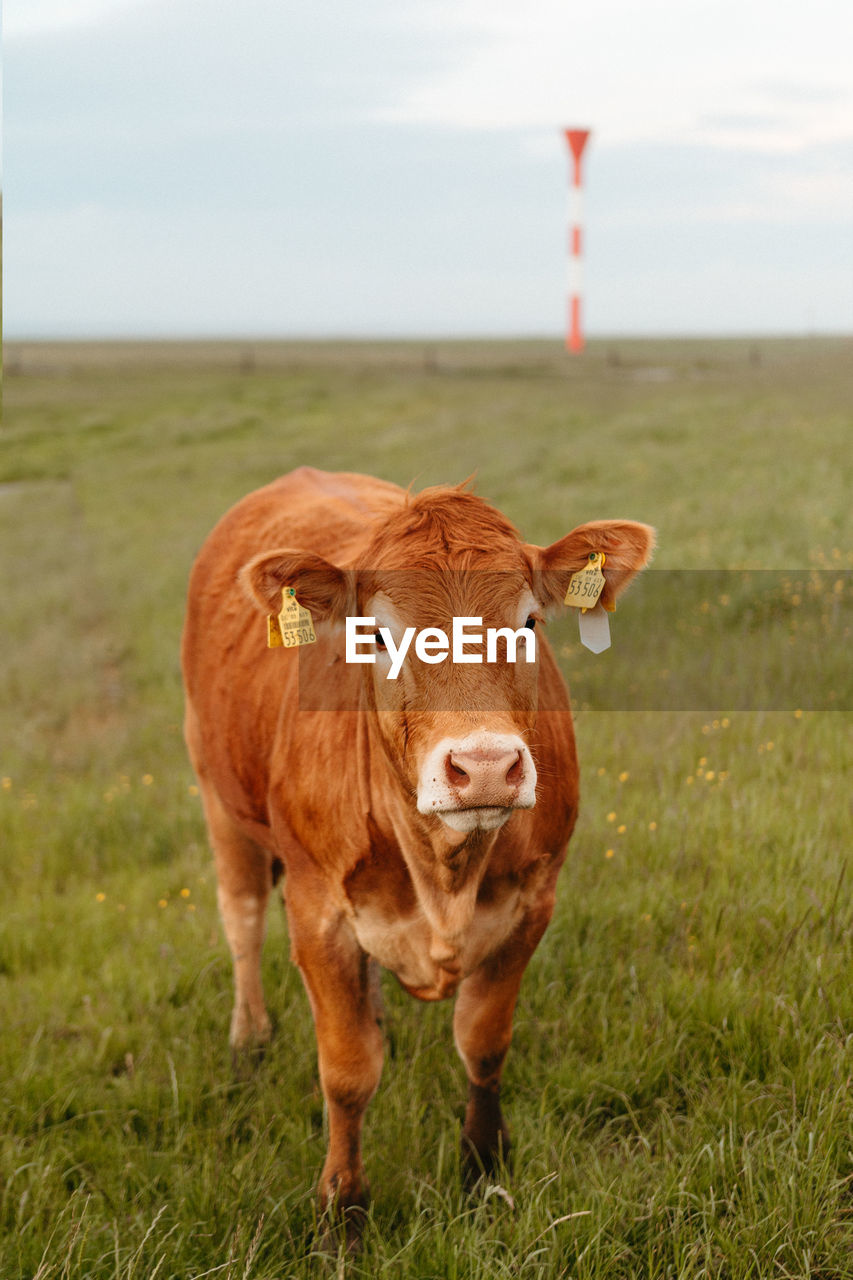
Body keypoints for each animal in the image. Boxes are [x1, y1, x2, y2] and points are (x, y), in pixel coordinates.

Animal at [183, 468, 653, 1228]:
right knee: (242, 918)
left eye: (528, 625)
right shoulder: (317, 911)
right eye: (375, 634)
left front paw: (483, 1167)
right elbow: (347, 1074)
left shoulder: (533, 901)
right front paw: (343, 1211)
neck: (444, 875)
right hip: (215, 790)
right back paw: (249, 1039)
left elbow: (484, 1044)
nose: (485, 766)